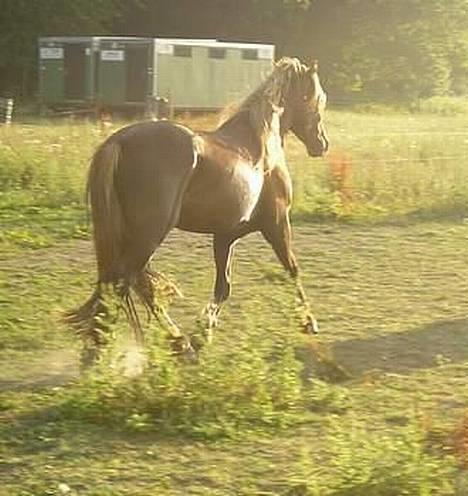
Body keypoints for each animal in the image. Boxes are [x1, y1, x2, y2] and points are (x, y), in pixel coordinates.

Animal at [67, 58, 330, 356]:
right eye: (317, 99)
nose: (322, 144)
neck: (259, 149)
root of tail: (118, 142)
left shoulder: (225, 236)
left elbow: (224, 286)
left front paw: (204, 331)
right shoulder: (276, 224)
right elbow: (292, 270)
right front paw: (309, 323)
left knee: (132, 285)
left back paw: (177, 341)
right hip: (148, 236)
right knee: (123, 285)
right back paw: (103, 351)